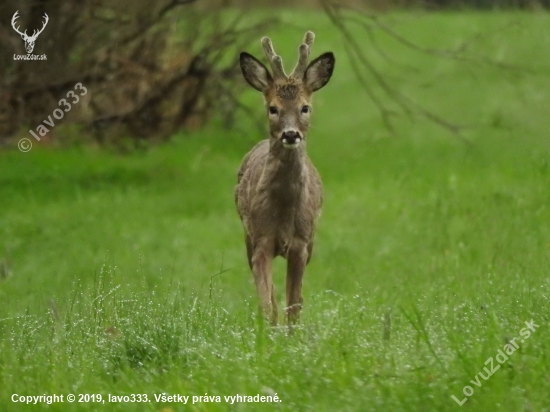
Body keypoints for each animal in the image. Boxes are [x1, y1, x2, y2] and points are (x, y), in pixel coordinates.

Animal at [237, 31, 336, 326]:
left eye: (305, 107)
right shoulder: (260, 240)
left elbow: (294, 305)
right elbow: (268, 304)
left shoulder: (301, 244)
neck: (283, 212)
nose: (290, 134)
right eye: (272, 108)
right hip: (247, 236)